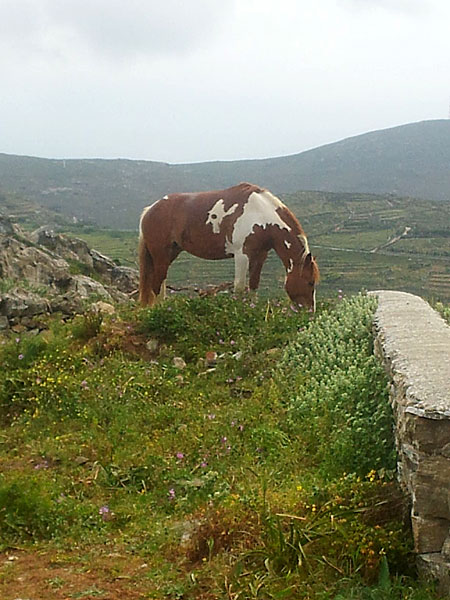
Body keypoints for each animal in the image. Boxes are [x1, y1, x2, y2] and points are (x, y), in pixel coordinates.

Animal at [139, 183, 318, 310]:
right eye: (310, 282)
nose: (309, 311)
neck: (261, 215)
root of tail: (149, 210)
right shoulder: (242, 255)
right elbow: (239, 287)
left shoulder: (260, 256)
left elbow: (253, 286)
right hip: (160, 254)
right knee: (157, 284)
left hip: (170, 253)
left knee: (160, 282)